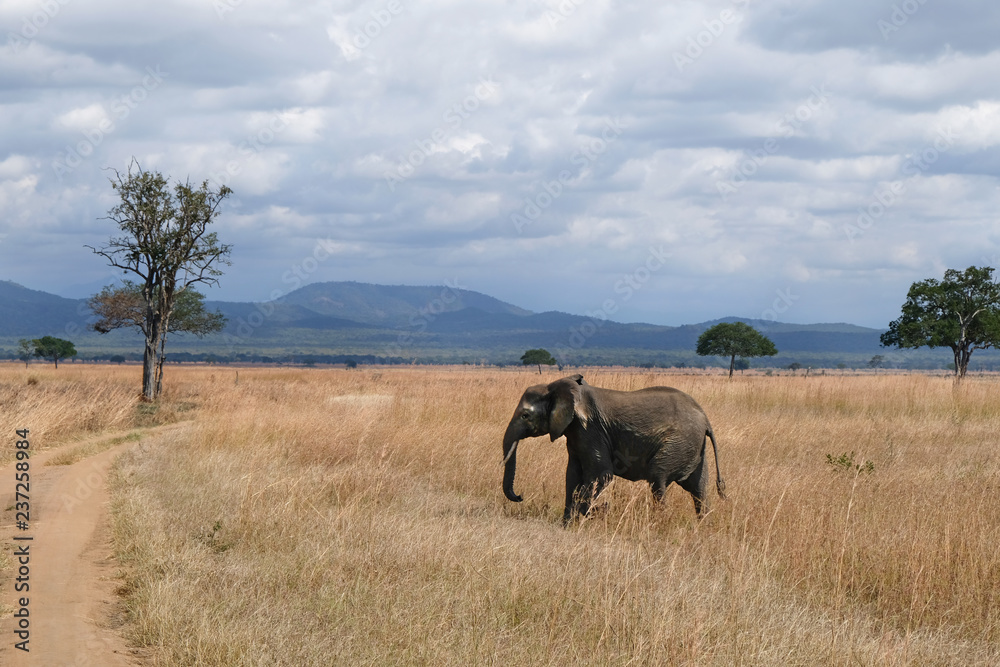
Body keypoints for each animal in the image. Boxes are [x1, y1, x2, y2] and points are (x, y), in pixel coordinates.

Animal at [502, 374, 726, 524]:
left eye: (525, 416)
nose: (520, 496)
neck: (555, 387)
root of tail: (706, 420)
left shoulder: (590, 430)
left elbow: (601, 474)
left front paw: (595, 512)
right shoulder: (575, 433)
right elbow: (572, 475)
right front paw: (567, 525)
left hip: (680, 442)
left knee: (658, 478)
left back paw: (660, 523)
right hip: (695, 448)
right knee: (699, 488)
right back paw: (703, 526)